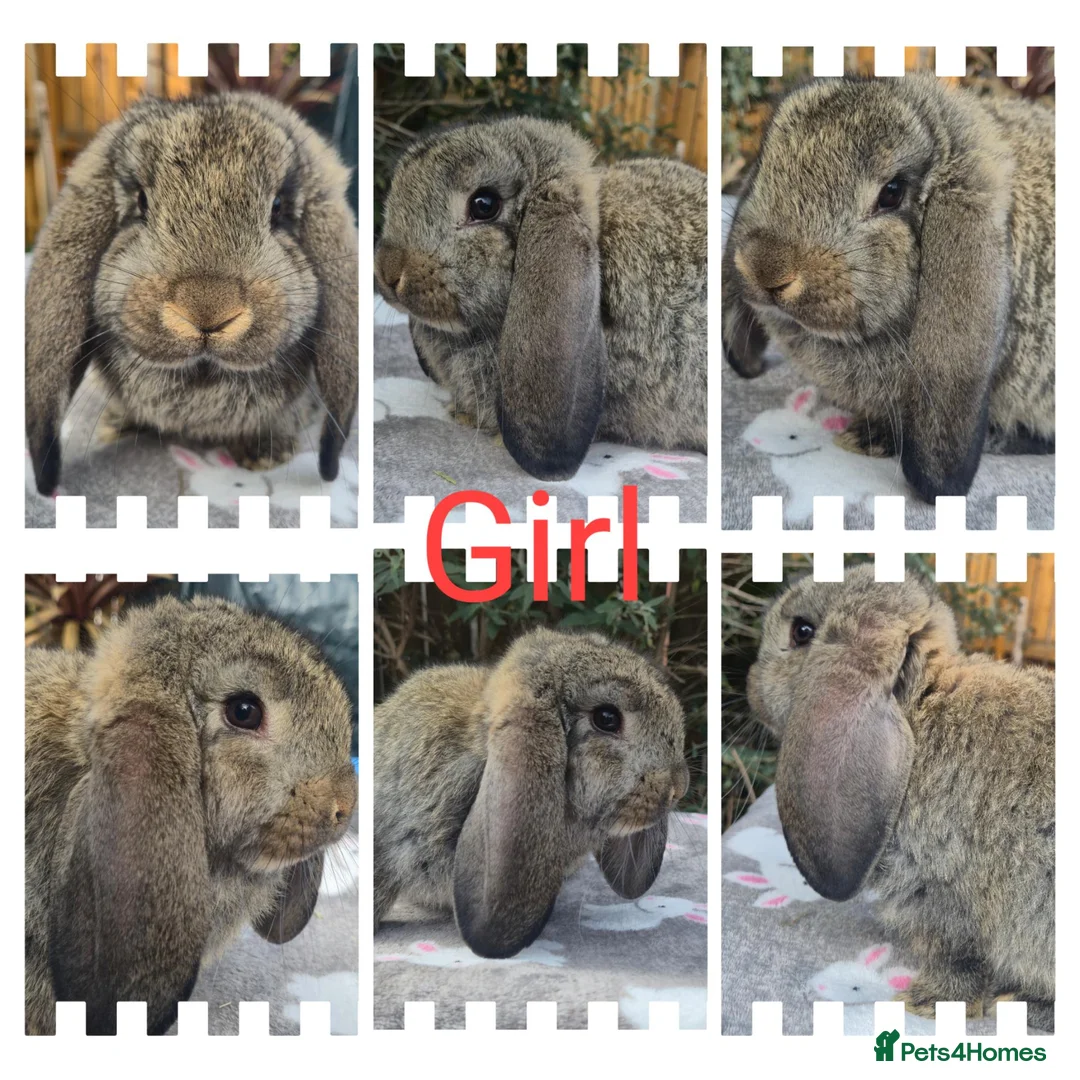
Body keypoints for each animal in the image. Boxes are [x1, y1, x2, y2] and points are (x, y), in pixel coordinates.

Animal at [747, 564, 1054, 1030]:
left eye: (802, 631)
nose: (750, 686)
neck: (920, 706)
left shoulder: (943, 894)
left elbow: (961, 961)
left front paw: (924, 1003)